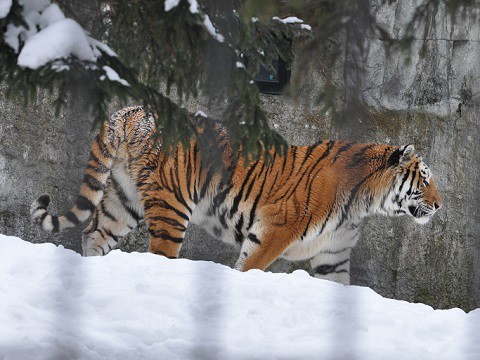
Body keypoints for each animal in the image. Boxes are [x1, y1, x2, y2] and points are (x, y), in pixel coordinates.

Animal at [31, 105, 442, 286]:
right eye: (424, 179)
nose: (440, 206)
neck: (363, 204)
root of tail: (128, 111)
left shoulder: (334, 255)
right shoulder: (274, 229)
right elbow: (249, 267)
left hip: (123, 199)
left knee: (92, 234)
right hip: (170, 206)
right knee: (158, 253)